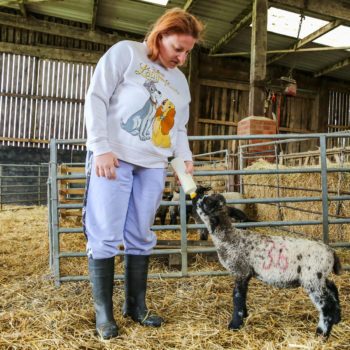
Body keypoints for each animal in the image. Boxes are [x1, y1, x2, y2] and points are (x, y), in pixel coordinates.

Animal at [191, 187, 342, 338]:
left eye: (207, 202)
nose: (196, 195)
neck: (229, 239)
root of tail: (331, 252)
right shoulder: (246, 274)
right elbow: (243, 297)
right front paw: (244, 316)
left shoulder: (241, 271)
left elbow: (237, 298)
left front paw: (234, 325)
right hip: (319, 277)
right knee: (332, 288)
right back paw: (337, 318)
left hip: (312, 278)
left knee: (326, 305)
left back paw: (322, 333)